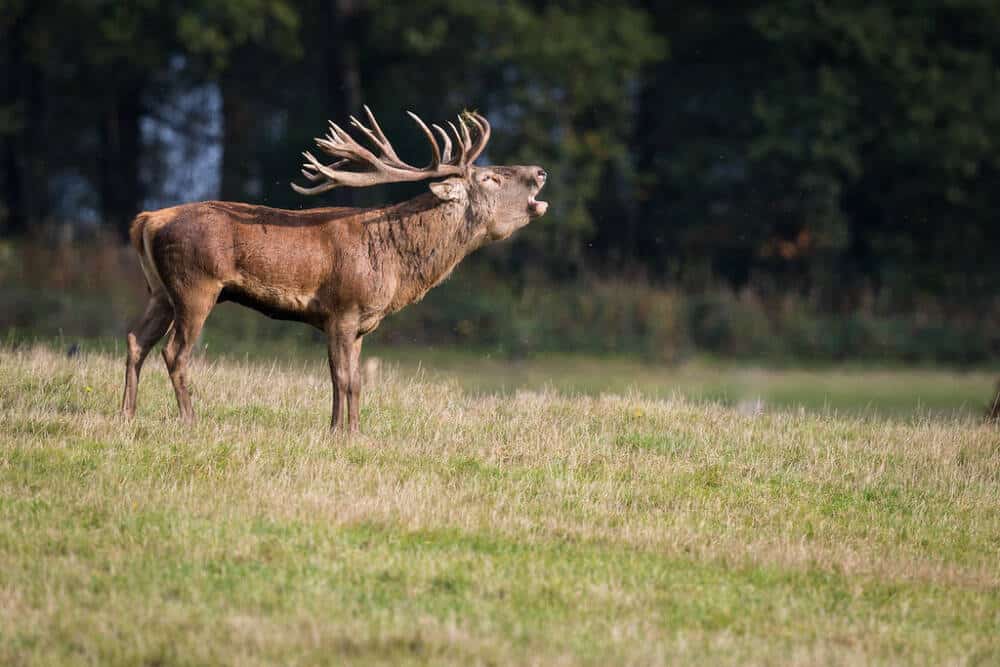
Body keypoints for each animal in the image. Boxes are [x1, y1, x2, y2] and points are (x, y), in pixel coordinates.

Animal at [123, 108, 556, 434]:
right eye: (490, 177)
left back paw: (127, 413)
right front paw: (341, 433)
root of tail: (147, 220)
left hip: (160, 292)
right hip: (195, 285)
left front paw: (350, 431)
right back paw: (190, 420)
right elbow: (342, 378)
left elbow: (354, 381)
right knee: (175, 351)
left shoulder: (361, 323)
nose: (539, 171)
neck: (395, 264)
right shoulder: (342, 310)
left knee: (135, 340)